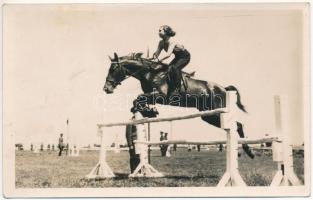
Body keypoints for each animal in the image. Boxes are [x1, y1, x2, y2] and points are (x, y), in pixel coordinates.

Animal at [102, 52, 254, 159]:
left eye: (114, 68)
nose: (106, 88)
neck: (150, 73)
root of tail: (224, 89)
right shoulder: (152, 97)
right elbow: (137, 100)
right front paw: (148, 111)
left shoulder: (161, 96)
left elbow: (139, 98)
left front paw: (149, 111)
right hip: (209, 115)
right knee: (236, 125)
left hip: (217, 112)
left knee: (238, 125)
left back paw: (248, 151)